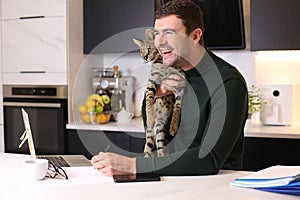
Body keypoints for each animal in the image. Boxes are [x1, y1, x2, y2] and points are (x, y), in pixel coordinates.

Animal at [134, 28, 185, 156]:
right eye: (141, 52)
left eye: (149, 48)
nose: (145, 58)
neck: (162, 61)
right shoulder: (151, 83)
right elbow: (148, 101)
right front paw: (149, 118)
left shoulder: (179, 84)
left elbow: (177, 106)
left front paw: (174, 126)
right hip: (151, 134)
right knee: (149, 148)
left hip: (160, 128)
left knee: (161, 150)